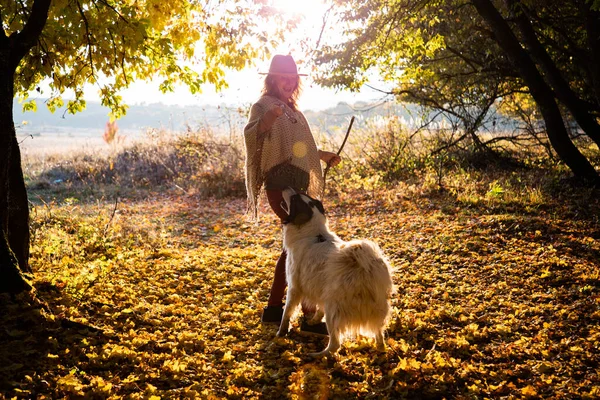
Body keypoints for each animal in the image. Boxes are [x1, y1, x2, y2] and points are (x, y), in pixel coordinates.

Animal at [276, 187, 394, 356]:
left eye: (294, 199)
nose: (287, 187)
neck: (313, 233)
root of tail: (366, 271)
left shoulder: (294, 287)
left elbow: (286, 312)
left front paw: (281, 333)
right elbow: (318, 310)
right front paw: (313, 321)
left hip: (333, 310)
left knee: (335, 344)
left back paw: (317, 355)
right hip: (375, 309)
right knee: (379, 335)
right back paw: (380, 348)